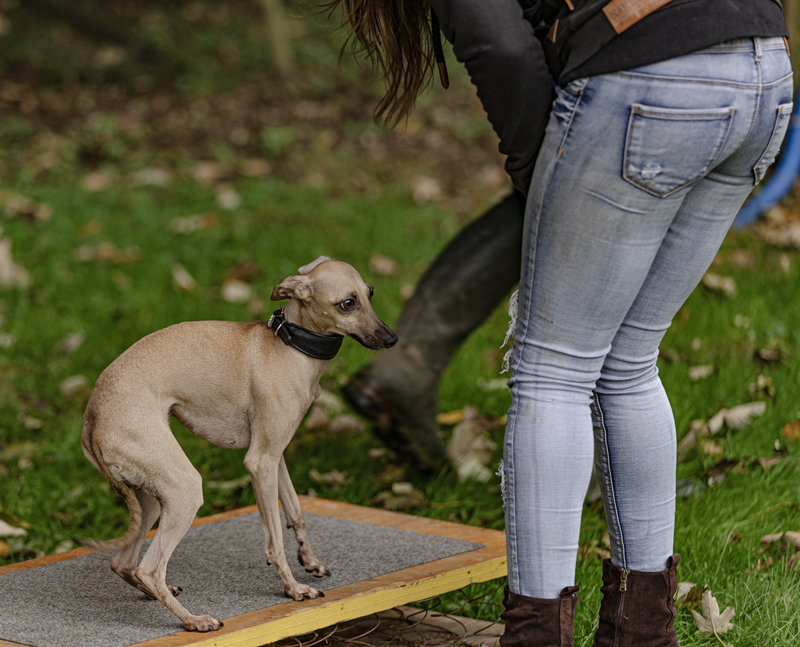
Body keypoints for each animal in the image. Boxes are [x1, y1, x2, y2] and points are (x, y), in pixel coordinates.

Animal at [79, 257, 397, 632]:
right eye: (347, 303)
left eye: (370, 293)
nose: (391, 338)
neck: (288, 348)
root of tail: (91, 417)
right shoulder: (259, 462)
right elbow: (274, 539)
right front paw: (293, 588)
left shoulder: (275, 458)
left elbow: (296, 511)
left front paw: (310, 560)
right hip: (184, 490)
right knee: (149, 568)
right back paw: (193, 620)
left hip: (151, 499)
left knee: (123, 562)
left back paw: (161, 595)